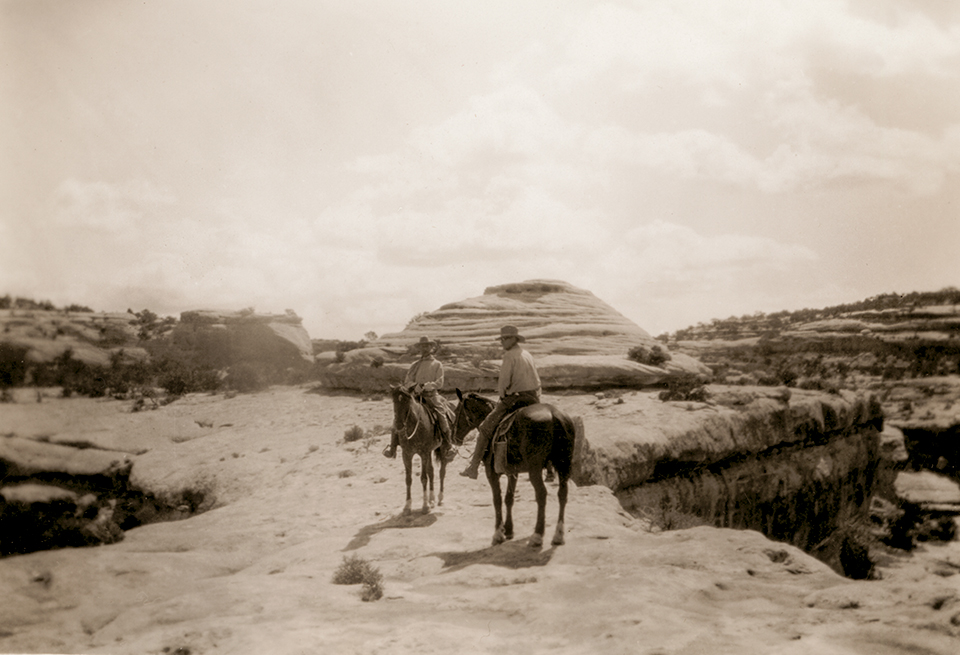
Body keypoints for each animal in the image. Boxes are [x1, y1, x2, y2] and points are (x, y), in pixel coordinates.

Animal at [388, 384, 456, 516]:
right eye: (393, 400)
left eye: (406, 400)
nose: (398, 425)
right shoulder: (407, 454)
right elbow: (408, 479)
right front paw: (407, 507)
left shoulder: (423, 453)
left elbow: (424, 478)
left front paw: (425, 506)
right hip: (429, 452)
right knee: (432, 471)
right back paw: (432, 499)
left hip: (442, 449)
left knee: (442, 472)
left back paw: (440, 498)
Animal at [454, 390, 572, 548]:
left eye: (456, 412)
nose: (454, 437)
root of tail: (554, 415)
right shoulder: (512, 472)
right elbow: (509, 498)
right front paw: (509, 530)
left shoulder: (491, 473)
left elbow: (497, 499)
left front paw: (498, 534)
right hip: (564, 465)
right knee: (562, 494)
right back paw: (558, 535)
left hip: (535, 469)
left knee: (541, 494)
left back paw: (537, 535)